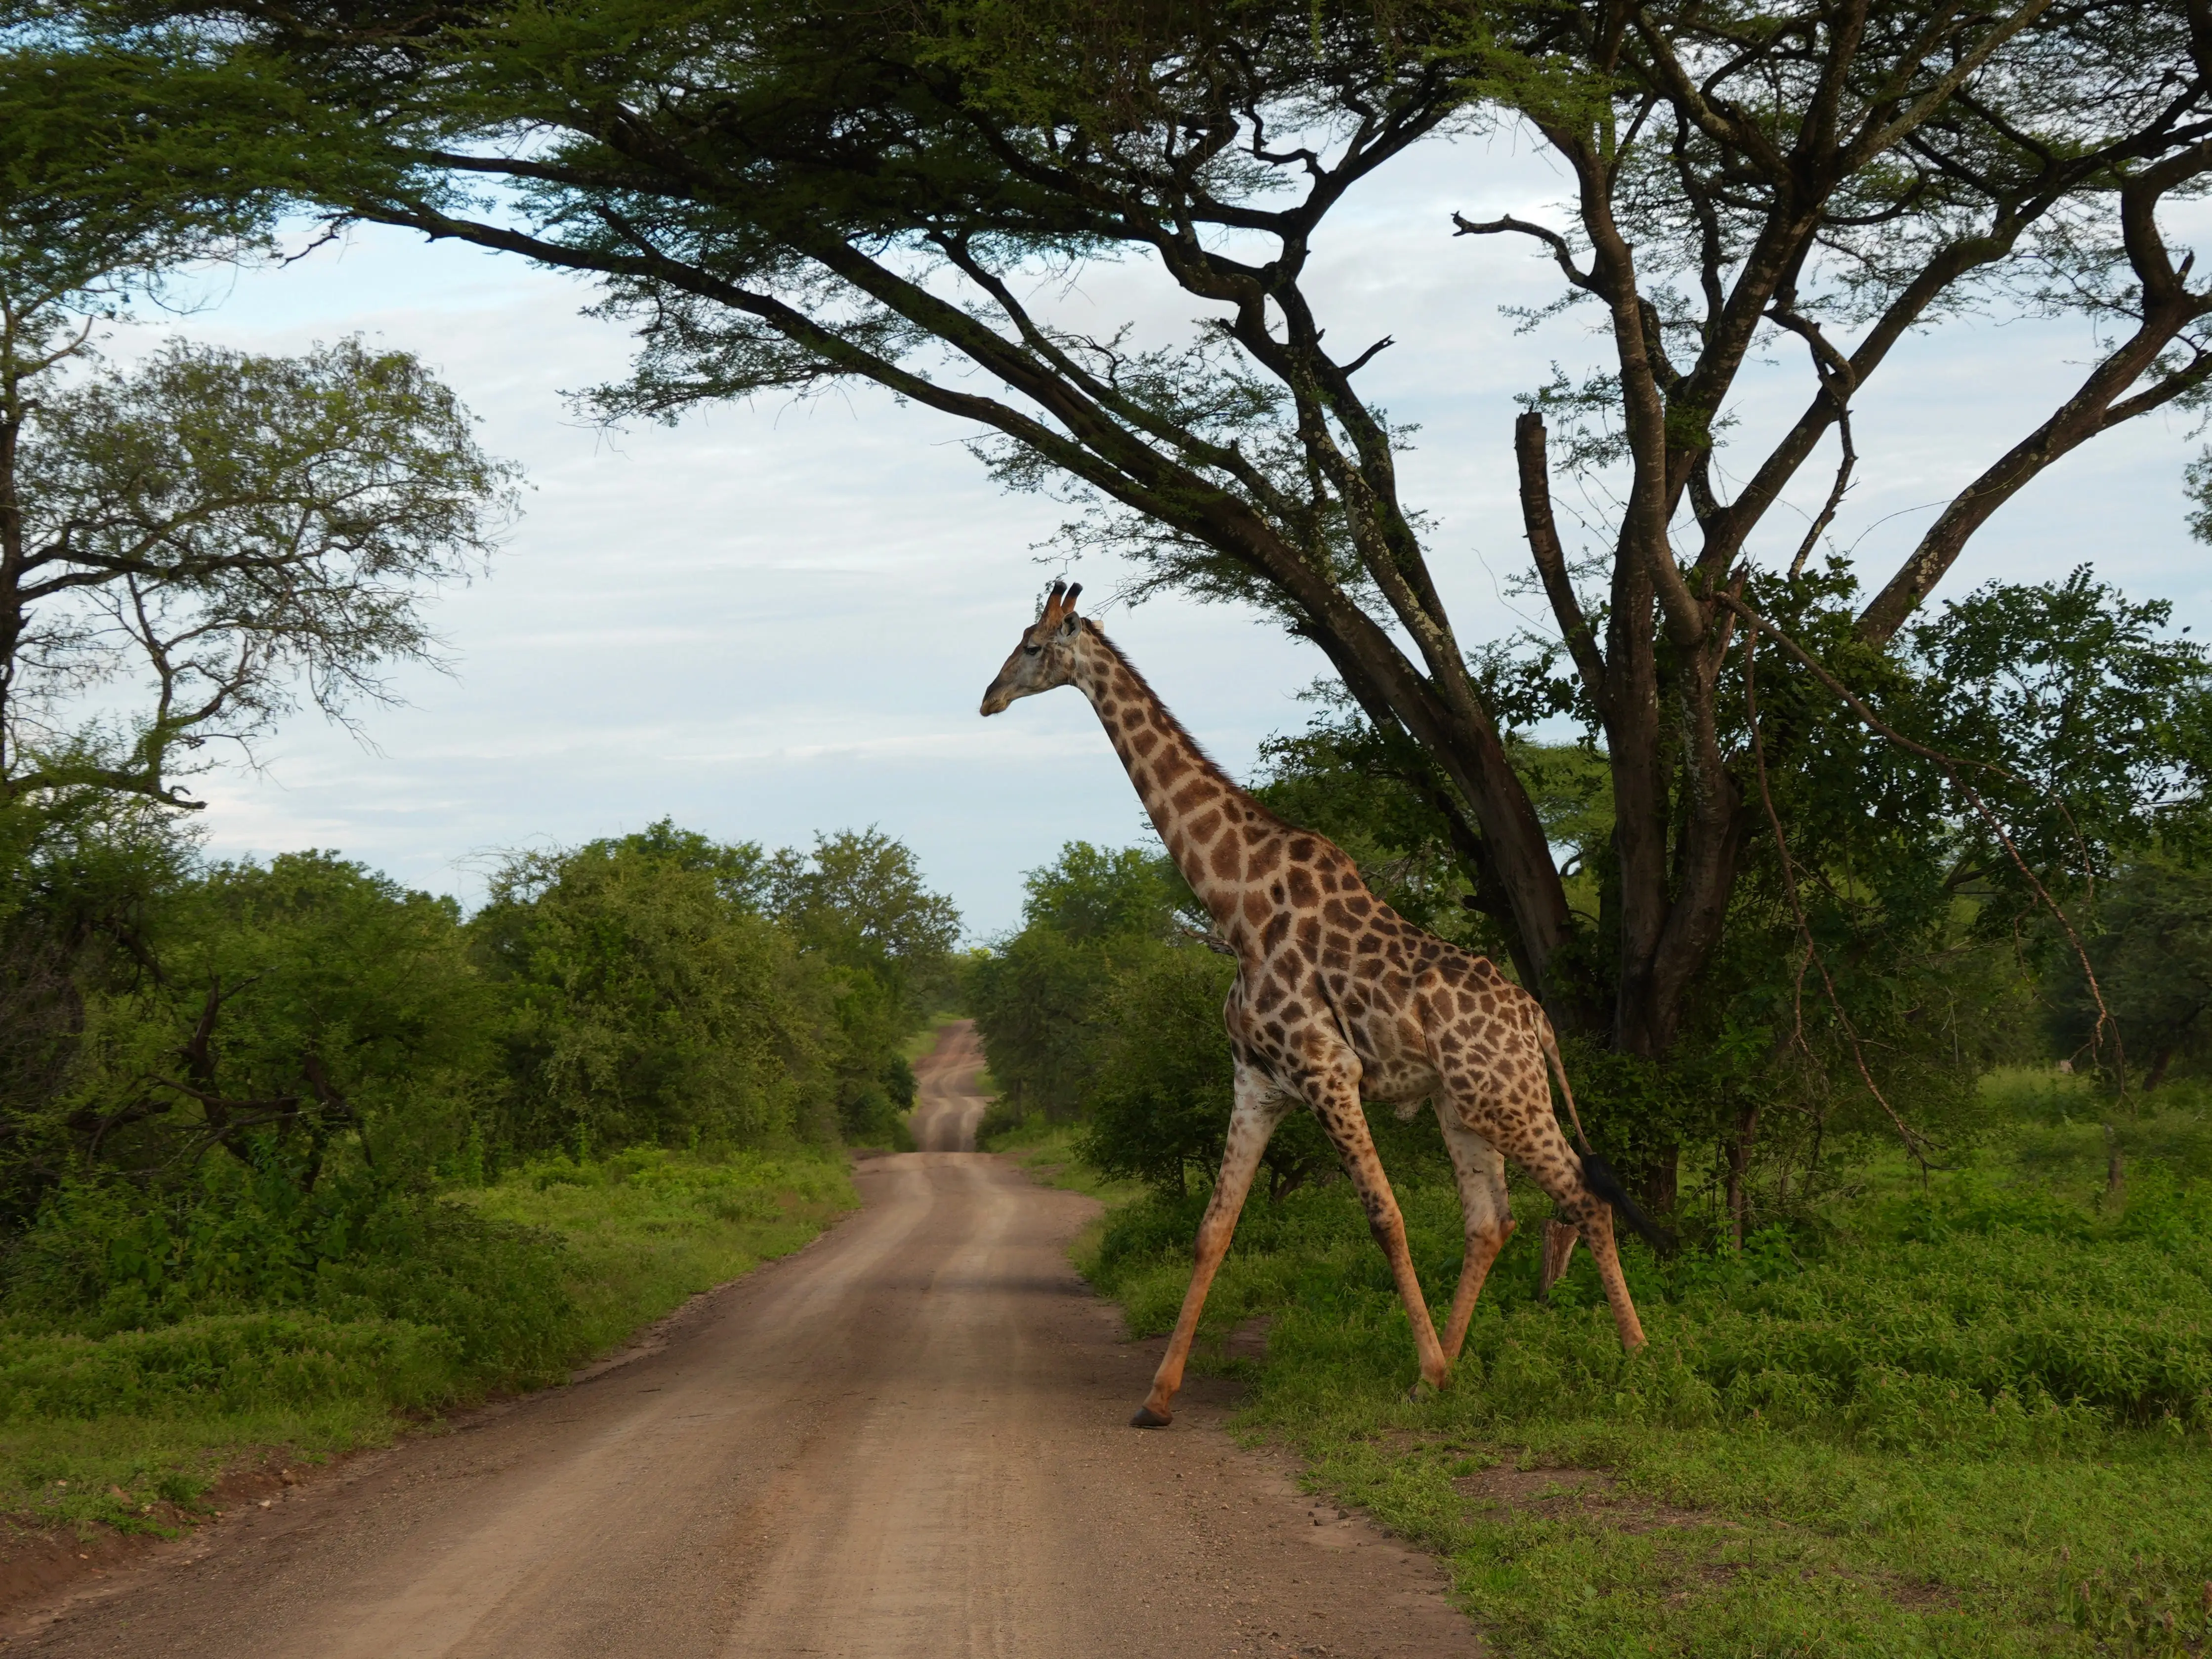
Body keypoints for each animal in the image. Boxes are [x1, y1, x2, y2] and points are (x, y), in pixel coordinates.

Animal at [980, 582, 1660, 1427]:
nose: (988, 697)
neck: (1233, 903)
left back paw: (1634, 1359)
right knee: (1490, 1220)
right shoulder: (1257, 1083)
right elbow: (1214, 1228)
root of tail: (1536, 1020)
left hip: (1508, 1098)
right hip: (1463, 1105)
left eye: (1032, 646)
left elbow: (1385, 1216)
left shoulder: (1329, 1071)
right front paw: (1157, 1398)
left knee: (1584, 1200)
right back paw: (1453, 1369)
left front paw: (1425, 1363)